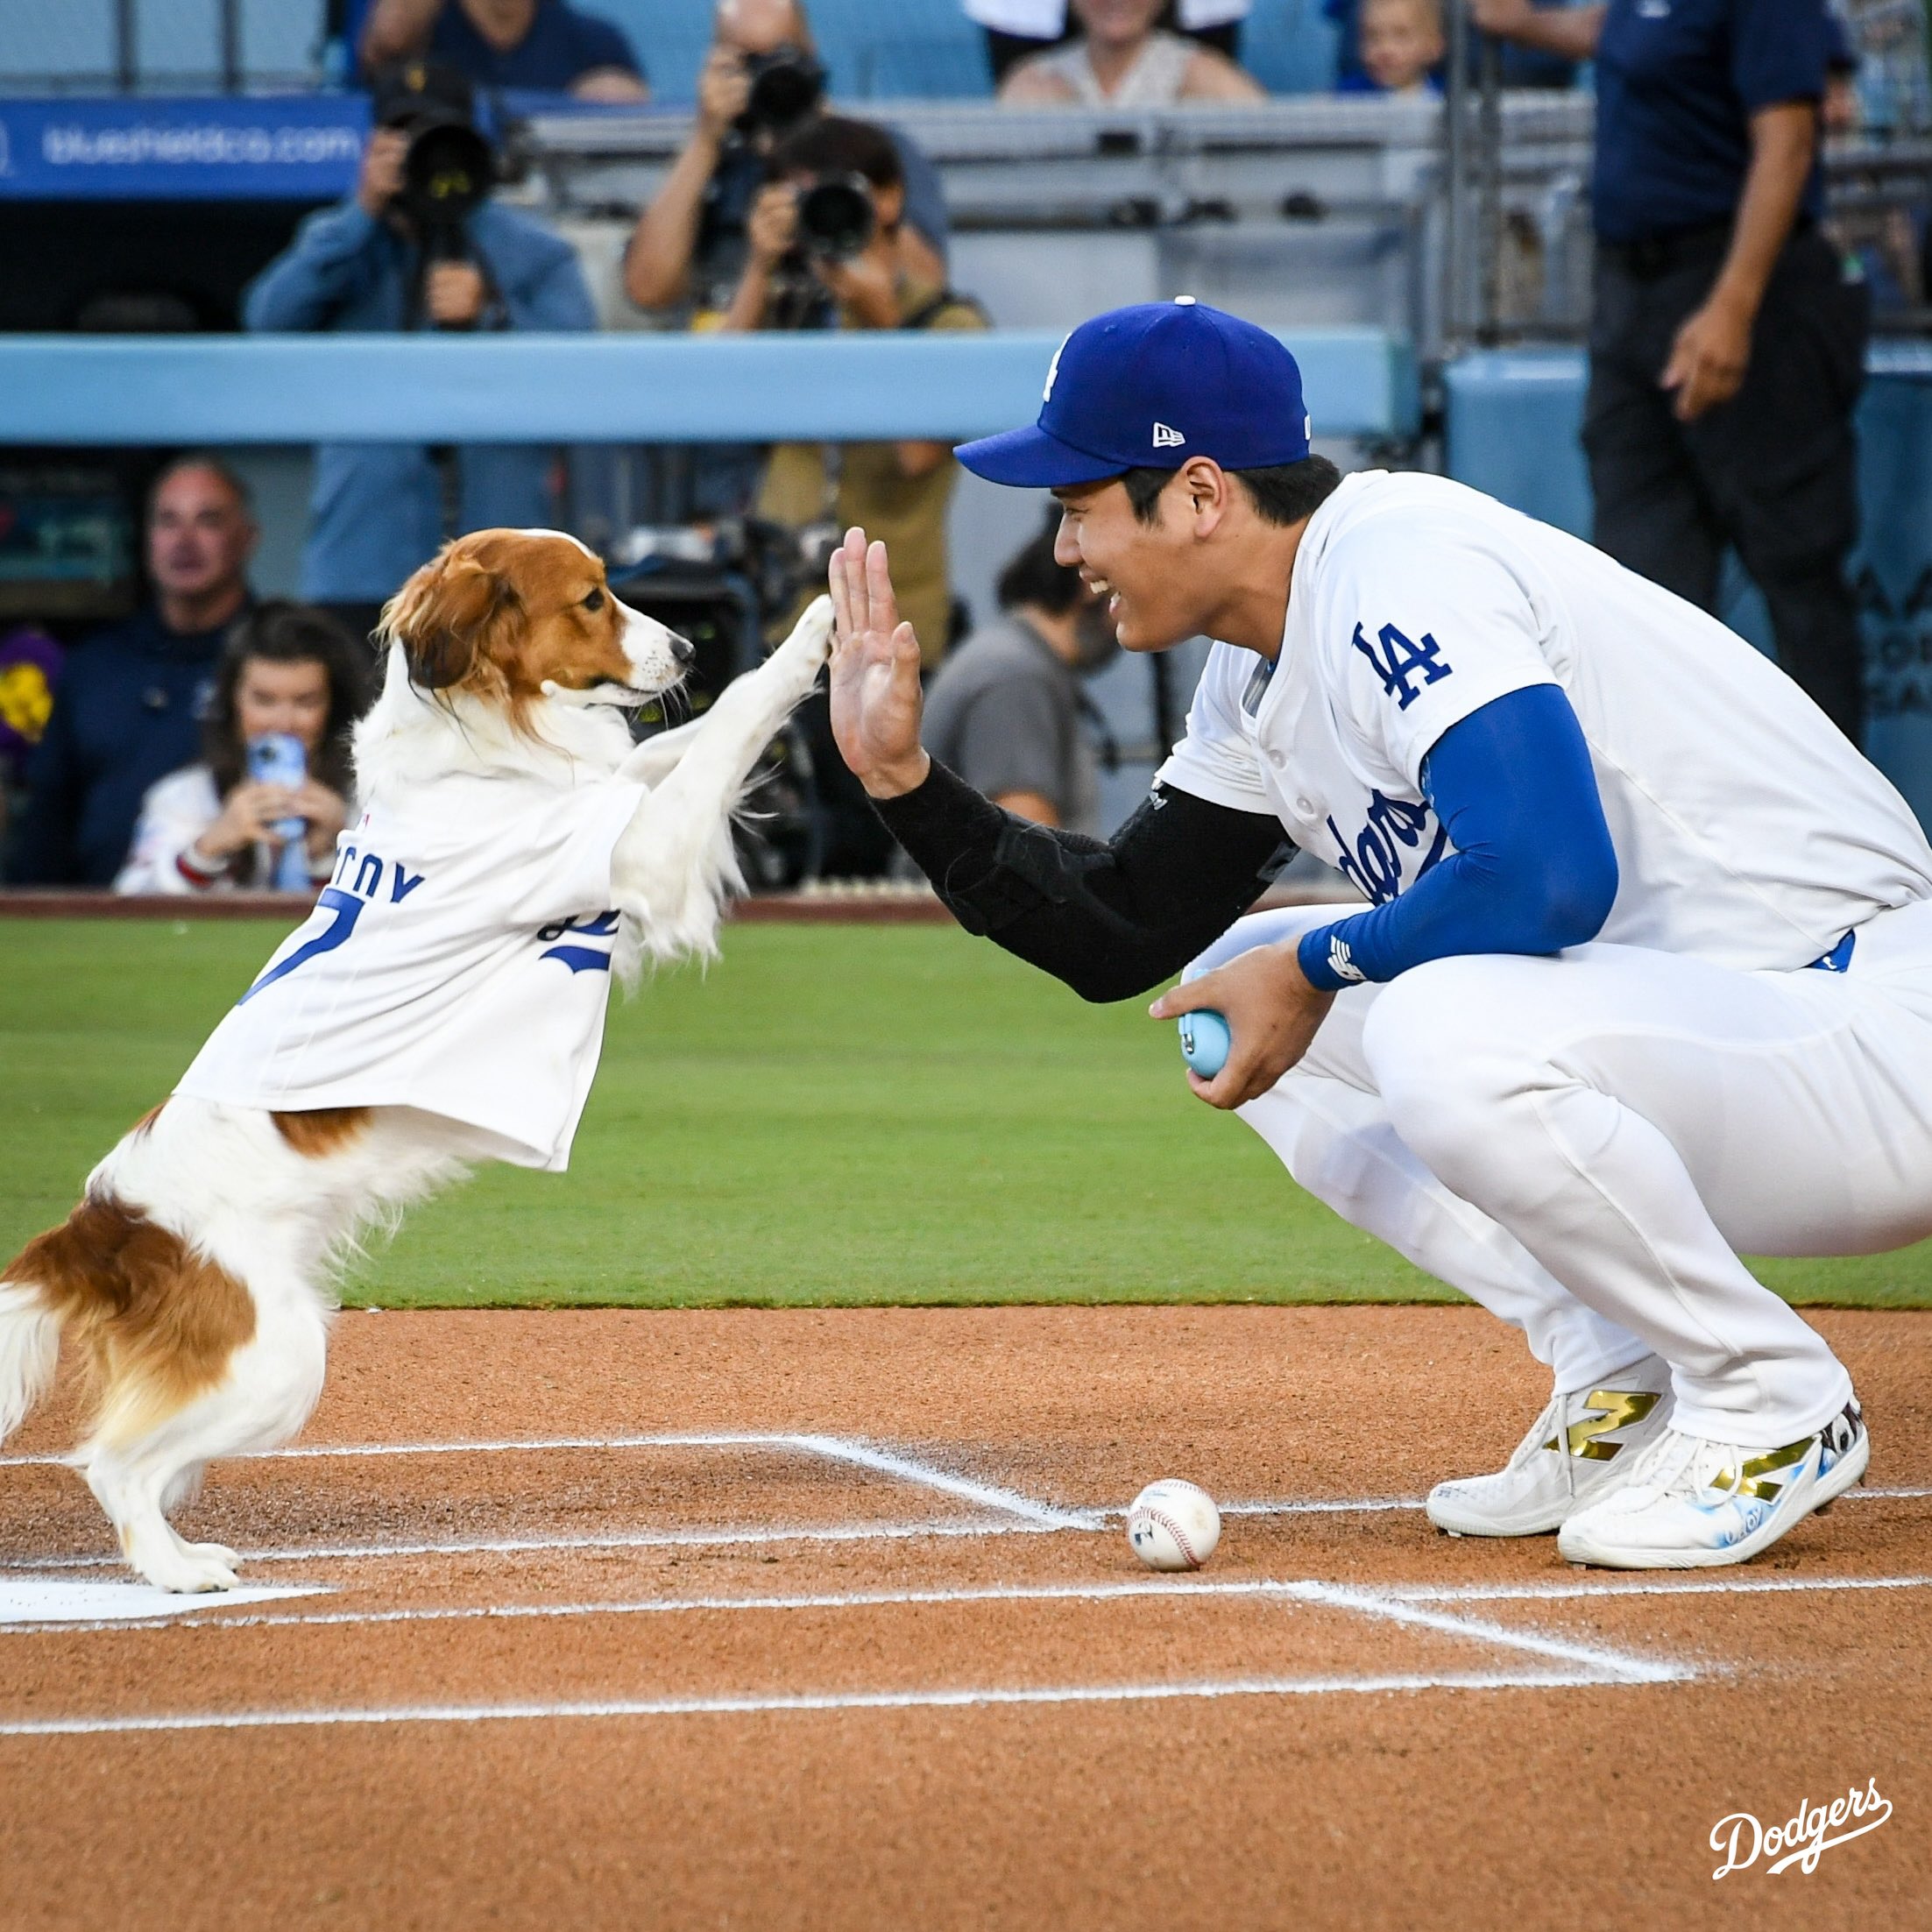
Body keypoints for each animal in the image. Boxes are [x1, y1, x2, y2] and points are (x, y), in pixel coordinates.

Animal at [0, 525, 831, 1584]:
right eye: (593, 599)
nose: (688, 649)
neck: (481, 747)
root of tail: (98, 1226)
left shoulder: (613, 806)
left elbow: (680, 742)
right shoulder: (638, 850)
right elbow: (734, 718)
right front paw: (819, 628)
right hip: (278, 1358)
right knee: (112, 1462)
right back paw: (177, 1570)